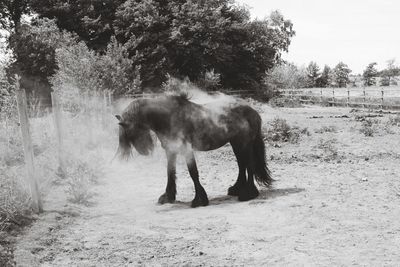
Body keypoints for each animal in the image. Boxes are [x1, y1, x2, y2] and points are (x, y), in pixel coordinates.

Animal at [115, 95, 272, 208]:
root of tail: (252, 111)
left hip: (244, 144)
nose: (145, 151)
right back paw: (237, 188)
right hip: (236, 144)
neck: (168, 118)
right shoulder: (171, 150)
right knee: (242, 165)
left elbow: (193, 173)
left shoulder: (186, 150)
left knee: (249, 165)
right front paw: (168, 196)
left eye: (134, 129)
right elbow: (170, 172)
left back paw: (248, 193)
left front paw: (199, 200)